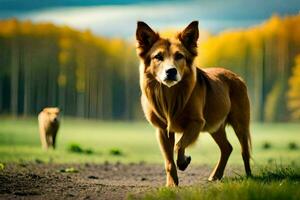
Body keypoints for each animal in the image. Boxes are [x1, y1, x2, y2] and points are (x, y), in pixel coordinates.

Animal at [137, 20, 252, 186]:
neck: (170, 95)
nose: (171, 71)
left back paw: (249, 176)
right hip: (214, 126)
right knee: (227, 148)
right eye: (158, 56)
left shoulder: (196, 122)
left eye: (179, 56)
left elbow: (179, 145)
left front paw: (184, 161)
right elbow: (169, 160)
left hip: (240, 123)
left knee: (244, 151)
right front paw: (171, 184)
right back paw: (215, 175)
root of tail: (237, 76)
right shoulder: (162, 130)